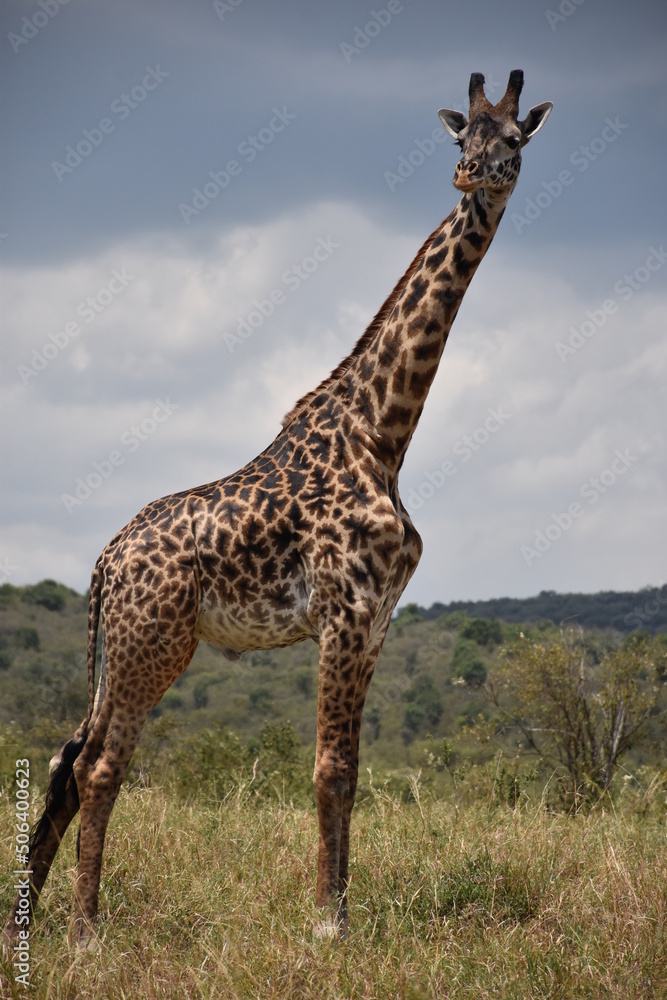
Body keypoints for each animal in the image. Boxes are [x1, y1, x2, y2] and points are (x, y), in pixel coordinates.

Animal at [4, 70, 551, 947]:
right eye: (460, 136)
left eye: (511, 140)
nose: (470, 177)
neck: (383, 432)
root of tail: (104, 561)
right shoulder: (346, 610)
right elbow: (330, 770)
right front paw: (329, 924)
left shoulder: (376, 620)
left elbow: (352, 770)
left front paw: (343, 911)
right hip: (152, 646)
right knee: (97, 766)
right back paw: (87, 930)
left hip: (125, 651)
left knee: (66, 758)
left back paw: (31, 920)